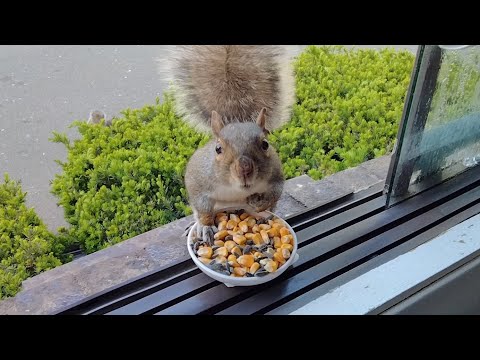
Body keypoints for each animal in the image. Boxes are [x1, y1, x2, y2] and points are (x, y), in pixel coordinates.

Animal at [167, 45, 298, 242]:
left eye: (265, 144)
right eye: (218, 148)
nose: (244, 169)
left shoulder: (275, 175)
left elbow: (275, 191)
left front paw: (261, 203)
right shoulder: (198, 181)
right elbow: (203, 206)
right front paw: (205, 226)